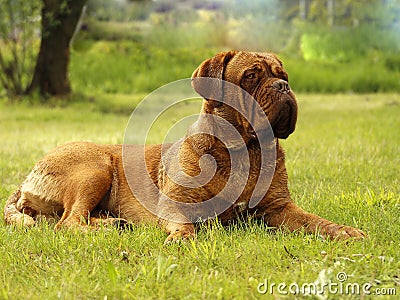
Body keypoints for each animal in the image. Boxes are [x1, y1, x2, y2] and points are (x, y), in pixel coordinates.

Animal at [3, 50, 366, 243]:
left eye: (283, 75)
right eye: (251, 76)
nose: (283, 86)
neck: (243, 149)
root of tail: (26, 177)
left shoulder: (280, 208)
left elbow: (315, 222)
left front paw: (344, 231)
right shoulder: (178, 204)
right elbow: (184, 225)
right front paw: (182, 239)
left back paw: (114, 224)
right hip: (95, 166)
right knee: (68, 222)